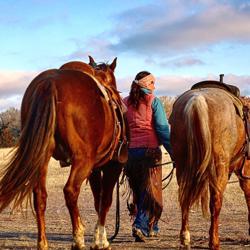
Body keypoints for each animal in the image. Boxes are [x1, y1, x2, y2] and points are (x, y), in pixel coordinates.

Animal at [0, 57, 127, 250]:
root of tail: (50, 83)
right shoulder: (112, 165)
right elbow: (105, 201)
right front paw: (101, 241)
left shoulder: (95, 169)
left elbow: (97, 200)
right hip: (82, 160)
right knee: (70, 191)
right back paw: (78, 238)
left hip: (42, 158)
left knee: (40, 196)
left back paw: (43, 243)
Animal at [170, 81, 250, 249]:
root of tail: (197, 100)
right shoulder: (245, 170)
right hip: (219, 167)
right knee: (215, 202)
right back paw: (214, 242)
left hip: (182, 165)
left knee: (184, 198)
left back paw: (185, 238)